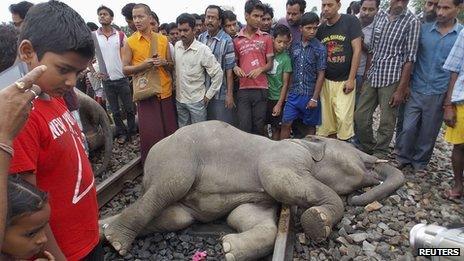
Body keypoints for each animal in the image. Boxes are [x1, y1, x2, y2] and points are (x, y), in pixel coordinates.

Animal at [100, 121, 402, 258]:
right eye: (361, 158)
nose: (361, 198)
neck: (304, 142)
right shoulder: (282, 158)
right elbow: (281, 182)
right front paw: (318, 223)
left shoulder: (263, 198)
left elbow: (248, 217)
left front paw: (229, 249)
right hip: (178, 156)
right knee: (168, 187)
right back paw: (117, 241)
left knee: (177, 216)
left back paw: (104, 229)